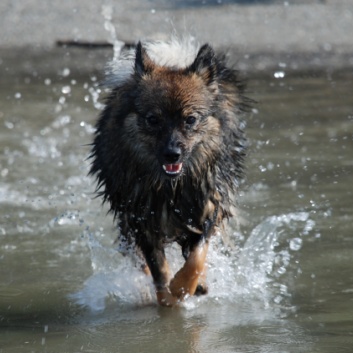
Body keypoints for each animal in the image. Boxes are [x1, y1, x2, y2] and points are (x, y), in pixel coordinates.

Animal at [89, 37, 249, 306]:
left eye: (190, 120)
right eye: (153, 120)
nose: (171, 154)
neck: (172, 188)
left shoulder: (207, 208)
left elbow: (197, 256)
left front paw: (185, 286)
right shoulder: (141, 217)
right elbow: (159, 270)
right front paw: (168, 298)